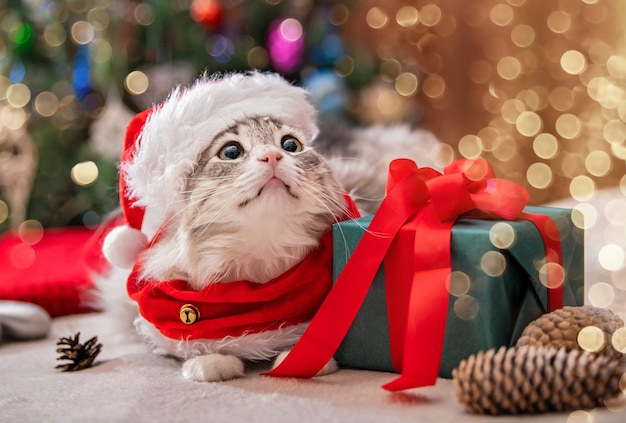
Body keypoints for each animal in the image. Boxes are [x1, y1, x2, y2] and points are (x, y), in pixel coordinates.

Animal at [98, 71, 438, 382]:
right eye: (231, 152)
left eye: (290, 145)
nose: (272, 155)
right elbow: (193, 343)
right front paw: (211, 363)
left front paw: (301, 357)